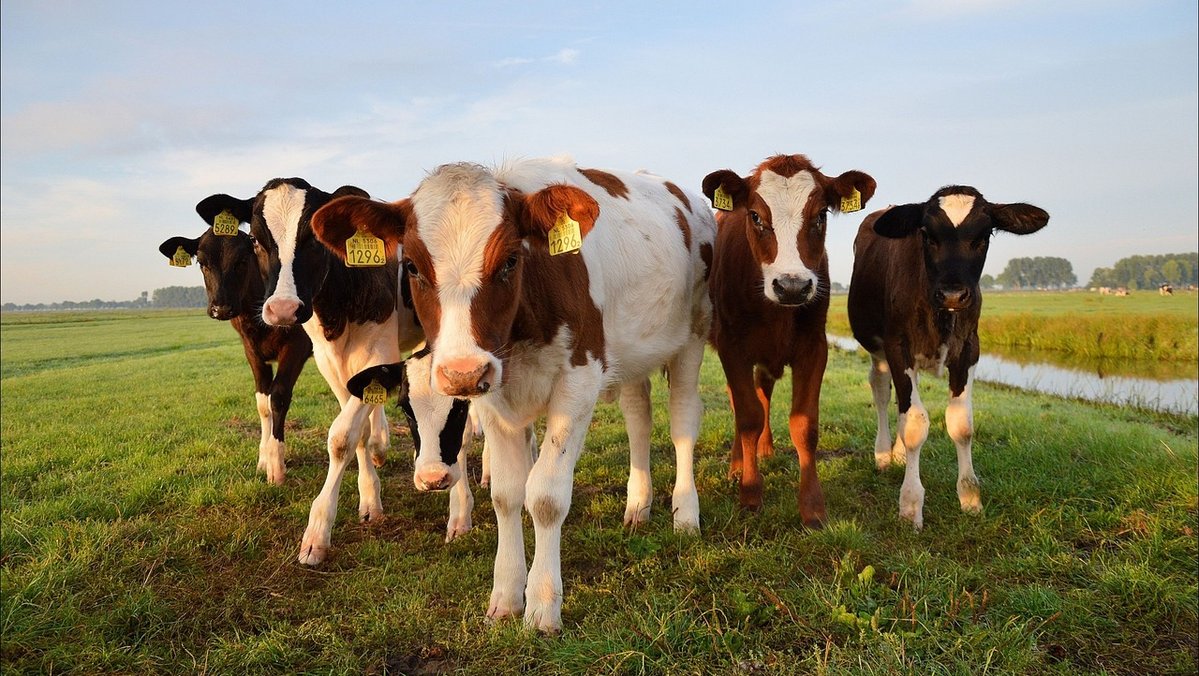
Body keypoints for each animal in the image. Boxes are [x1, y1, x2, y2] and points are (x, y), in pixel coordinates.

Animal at [158, 223, 312, 485]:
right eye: (202, 263)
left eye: (242, 261)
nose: (221, 308)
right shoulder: (252, 351)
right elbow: (263, 403)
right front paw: (264, 460)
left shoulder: (297, 345)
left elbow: (278, 397)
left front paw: (276, 466)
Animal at [196, 178, 423, 565]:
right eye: (255, 240)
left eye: (315, 239)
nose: (283, 309)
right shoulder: (328, 360)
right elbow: (357, 432)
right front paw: (370, 496)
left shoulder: (375, 350)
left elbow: (342, 436)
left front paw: (317, 531)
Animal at [310, 157, 715, 633]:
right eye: (410, 266)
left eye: (509, 260)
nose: (462, 371)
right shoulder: (493, 395)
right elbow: (506, 494)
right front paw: (505, 595)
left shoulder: (579, 381)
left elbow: (545, 495)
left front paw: (542, 604)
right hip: (633, 353)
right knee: (638, 418)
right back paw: (638, 504)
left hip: (692, 335)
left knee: (682, 422)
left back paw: (685, 513)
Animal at [701, 154, 876, 526]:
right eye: (755, 216)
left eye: (821, 215)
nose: (792, 286)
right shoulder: (731, 347)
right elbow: (747, 416)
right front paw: (750, 494)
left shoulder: (814, 347)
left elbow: (804, 424)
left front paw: (812, 507)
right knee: (741, 401)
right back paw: (738, 464)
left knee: (763, 390)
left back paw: (764, 449)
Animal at [848, 186, 1049, 529]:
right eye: (927, 234)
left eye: (984, 235)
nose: (953, 294)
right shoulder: (897, 348)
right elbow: (915, 423)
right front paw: (911, 504)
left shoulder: (968, 350)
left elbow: (961, 424)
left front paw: (969, 497)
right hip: (877, 349)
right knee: (881, 391)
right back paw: (884, 454)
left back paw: (898, 453)